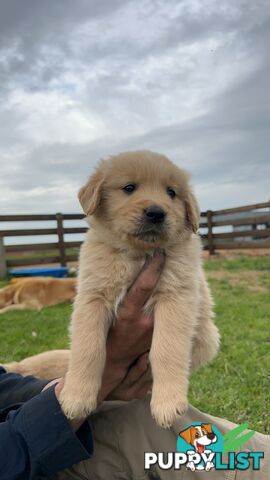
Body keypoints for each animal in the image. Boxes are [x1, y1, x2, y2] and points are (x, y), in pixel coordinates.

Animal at [58, 151, 219, 428]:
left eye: (171, 192)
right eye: (129, 188)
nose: (156, 212)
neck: (138, 255)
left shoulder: (176, 296)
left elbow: (167, 349)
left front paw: (168, 404)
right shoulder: (92, 297)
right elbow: (87, 347)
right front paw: (76, 398)